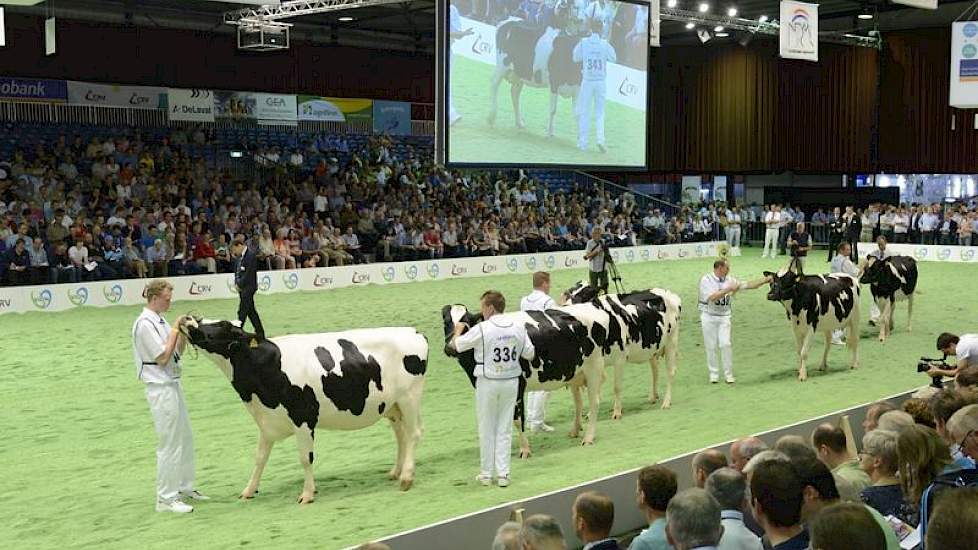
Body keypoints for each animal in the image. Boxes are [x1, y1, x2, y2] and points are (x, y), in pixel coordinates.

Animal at [183, 320, 428, 504]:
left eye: (222, 326)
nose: (190, 321)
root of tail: (413, 331)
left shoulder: (303, 418)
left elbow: (305, 458)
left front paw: (307, 494)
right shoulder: (268, 423)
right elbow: (260, 458)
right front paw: (249, 490)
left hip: (409, 397)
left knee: (414, 433)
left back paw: (406, 478)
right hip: (392, 405)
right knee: (401, 436)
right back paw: (396, 472)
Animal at [442, 288, 680, 458]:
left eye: (466, 322)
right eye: (446, 322)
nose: (450, 348)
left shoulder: (517, 386)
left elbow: (517, 419)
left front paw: (525, 450)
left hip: (653, 348)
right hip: (582, 370)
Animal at [488, 0, 580, 138]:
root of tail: (509, 19)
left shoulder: (577, 89)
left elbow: (580, 115)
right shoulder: (554, 84)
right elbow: (553, 110)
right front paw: (550, 133)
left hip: (519, 71)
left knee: (514, 93)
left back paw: (519, 123)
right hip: (502, 64)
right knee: (494, 84)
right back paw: (492, 117)